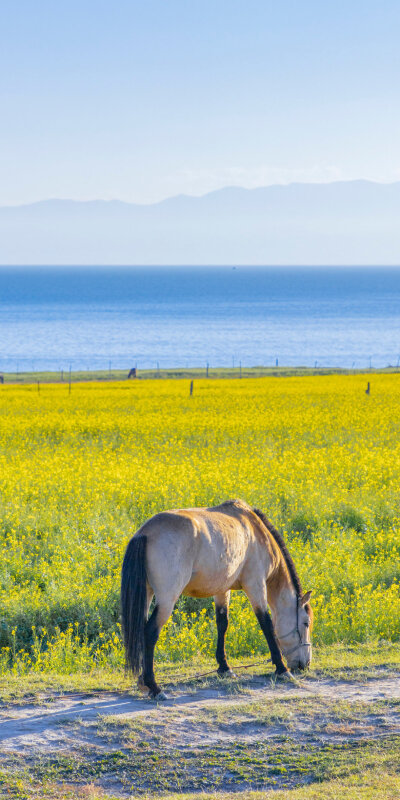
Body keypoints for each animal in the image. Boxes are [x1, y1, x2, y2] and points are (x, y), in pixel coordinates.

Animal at [120, 496, 314, 696]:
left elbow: (222, 624)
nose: (305, 664)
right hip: (167, 599)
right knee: (150, 632)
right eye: (306, 623)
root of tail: (145, 533)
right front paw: (282, 669)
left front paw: (224, 667)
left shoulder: (222, 590)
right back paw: (154, 687)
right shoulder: (255, 585)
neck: (256, 532)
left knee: (141, 630)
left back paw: (143, 681)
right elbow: (266, 624)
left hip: (147, 595)